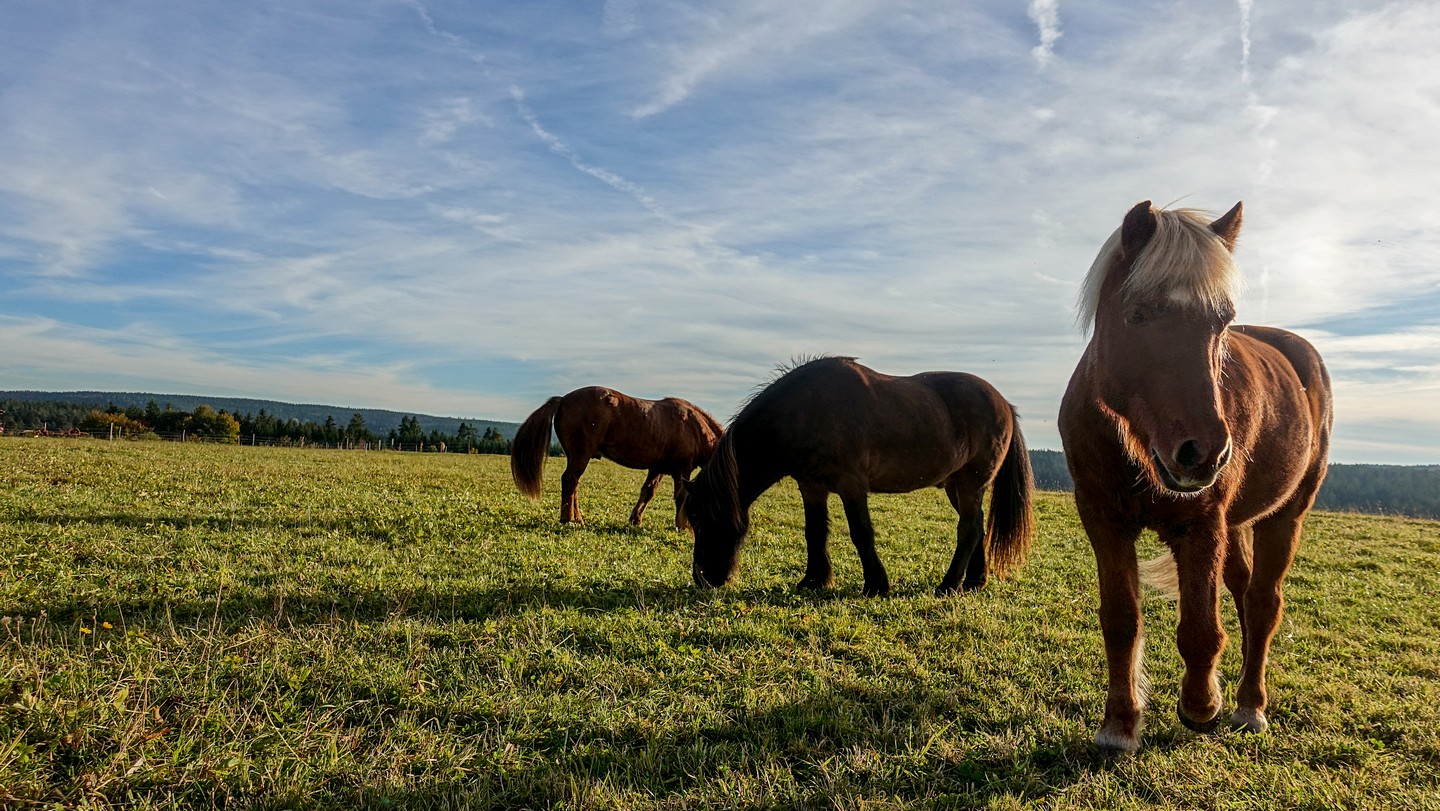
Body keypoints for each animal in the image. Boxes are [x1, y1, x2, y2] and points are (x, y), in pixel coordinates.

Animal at [512, 388, 725, 530]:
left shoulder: (657, 469)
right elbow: (681, 496)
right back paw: (568, 519)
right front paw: (681, 525)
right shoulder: (681, 469)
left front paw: (636, 520)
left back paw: (577, 518)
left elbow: (647, 492)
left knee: (573, 485)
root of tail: (562, 399)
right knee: (570, 480)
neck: (693, 426)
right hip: (581, 455)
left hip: (574, 456)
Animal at [1065, 201, 1330, 754]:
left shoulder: (1202, 524)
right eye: (1138, 314)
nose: (1203, 453)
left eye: (1222, 322)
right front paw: (1119, 725)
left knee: (1263, 601)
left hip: (1286, 515)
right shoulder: (1102, 519)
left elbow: (1201, 629)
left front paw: (1201, 705)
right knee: (1245, 593)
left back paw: (1250, 706)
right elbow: (1121, 621)